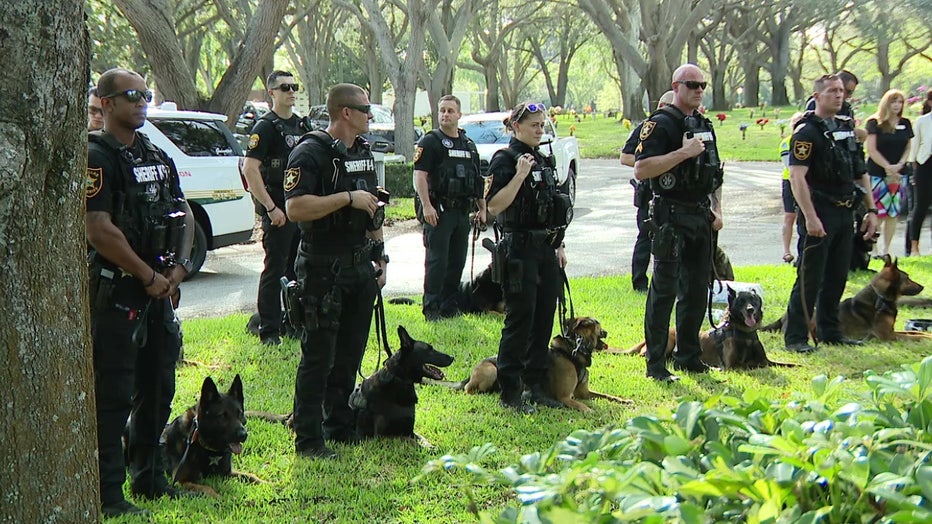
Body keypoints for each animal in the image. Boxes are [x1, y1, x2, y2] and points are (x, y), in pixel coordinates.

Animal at [460, 318, 628, 412]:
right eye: (598, 324)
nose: (606, 332)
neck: (572, 352)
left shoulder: (584, 393)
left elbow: (607, 396)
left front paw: (624, 401)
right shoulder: (565, 397)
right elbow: (582, 406)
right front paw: (591, 411)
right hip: (491, 370)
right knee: (469, 390)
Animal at [628, 288, 792, 370]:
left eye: (753, 299)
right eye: (741, 301)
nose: (750, 310)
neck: (745, 333)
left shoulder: (766, 360)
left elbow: (788, 364)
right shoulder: (732, 366)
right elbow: (751, 365)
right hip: (668, 341)